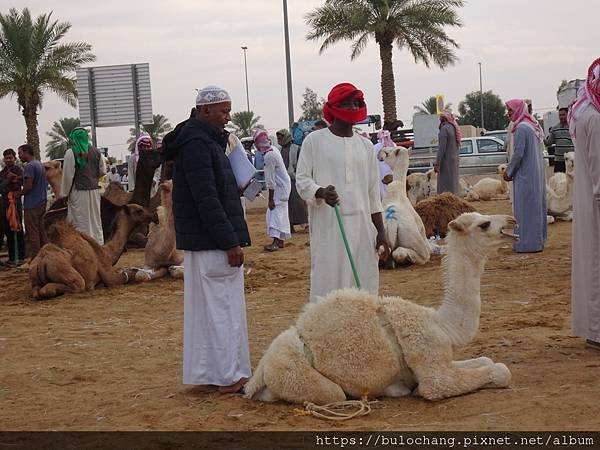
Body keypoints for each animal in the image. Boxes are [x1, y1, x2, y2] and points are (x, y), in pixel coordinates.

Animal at [244, 211, 516, 404]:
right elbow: (499, 370)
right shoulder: (432, 369)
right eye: (484, 224)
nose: (511, 220)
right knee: (333, 394)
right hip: (301, 376)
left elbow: (486, 359)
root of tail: (260, 370)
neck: (442, 325)